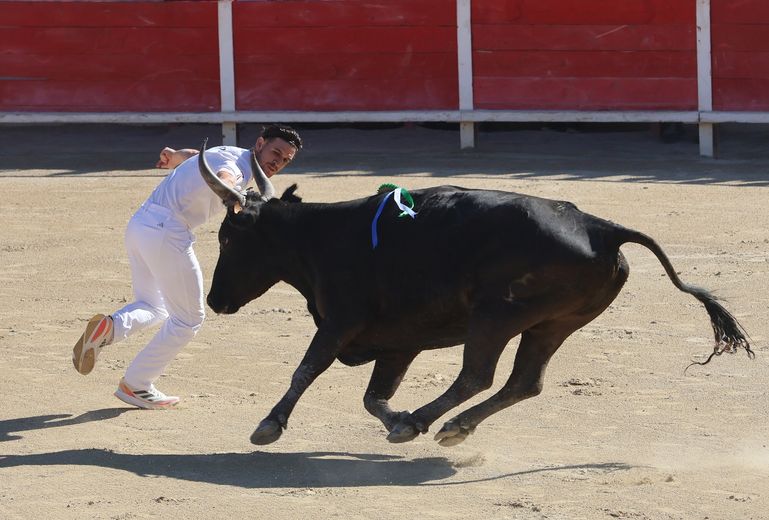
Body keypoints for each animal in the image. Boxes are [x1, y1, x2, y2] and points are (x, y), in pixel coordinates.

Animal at [196, 147, 752, 446]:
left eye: (226, 239)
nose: (216, 301)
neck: (321, 239)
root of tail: (601, 226)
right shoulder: (399, 341)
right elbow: (374, 395)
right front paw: (397, 421)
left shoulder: (339, 321)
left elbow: (306, 369)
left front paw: (268, 425)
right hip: (552, 324)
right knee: (524, 382)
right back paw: (446, 426)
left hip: (495, 317)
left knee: (478, 375)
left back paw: (432, 420)